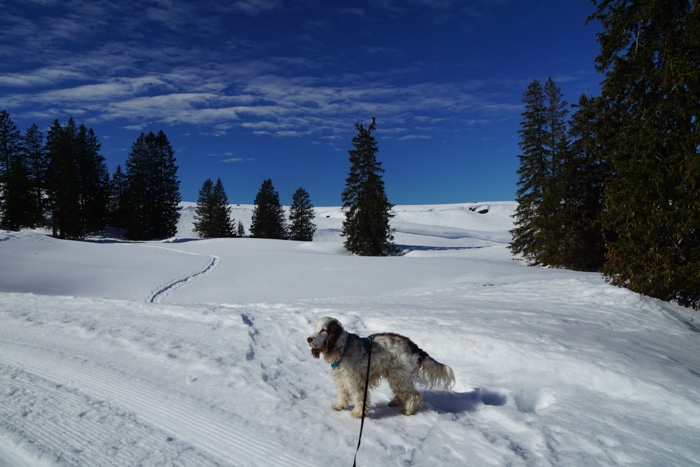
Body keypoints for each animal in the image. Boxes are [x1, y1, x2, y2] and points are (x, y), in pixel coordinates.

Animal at [307, 317, 455, 417]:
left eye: (323, 330)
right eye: (315, 329)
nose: (308, 339)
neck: (342, 348)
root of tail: (414, 346)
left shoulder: (356, 381)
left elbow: (359, 398)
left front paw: (358, 413)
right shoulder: (342, 379)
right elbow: (342, 394)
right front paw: (339, 406)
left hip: (400, 377)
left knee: (415, 395)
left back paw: (409, 410)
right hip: (396, 376)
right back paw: (395, 402)